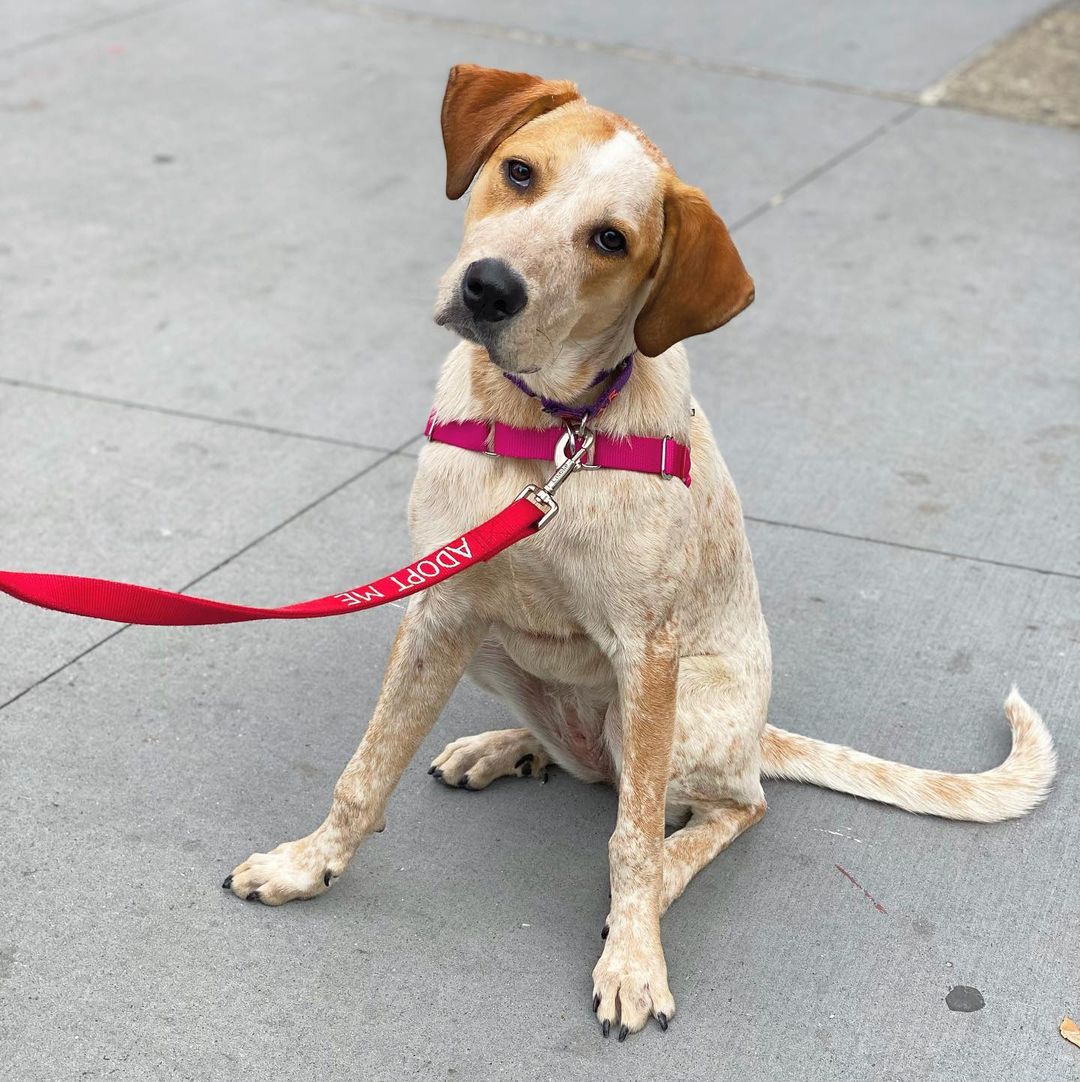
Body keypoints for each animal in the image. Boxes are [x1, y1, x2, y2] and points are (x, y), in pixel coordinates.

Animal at [224, 61, 1060, 1038]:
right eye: (518, 172)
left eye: (610, 240)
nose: (489, 289)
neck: (545, 432)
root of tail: (756, 734)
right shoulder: (440, 607)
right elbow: (366, 767)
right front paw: (306, 863)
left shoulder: (648, 649)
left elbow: (630, 839)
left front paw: (634, 959)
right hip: (497, 652)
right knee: (595, 770)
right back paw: (506, 748)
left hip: (674, 710)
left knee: (717, 805)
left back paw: (663, 872)